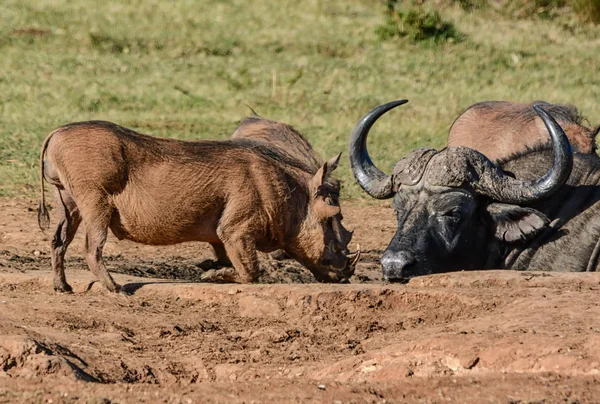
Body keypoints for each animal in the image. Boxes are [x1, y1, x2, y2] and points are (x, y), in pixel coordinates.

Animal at [38, 120, 356, 294]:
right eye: (332, 214)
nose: (346, 276)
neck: (286, 192)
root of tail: (55, 133)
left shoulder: (221, 236)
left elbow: (229, 260)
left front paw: (208, 267)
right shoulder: (236, 230)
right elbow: (251, 272)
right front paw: (210, 276)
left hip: (67, 201)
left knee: (57, 241)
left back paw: (62, 287)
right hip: (94, 202)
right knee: (91, 247)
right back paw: (116, 289)